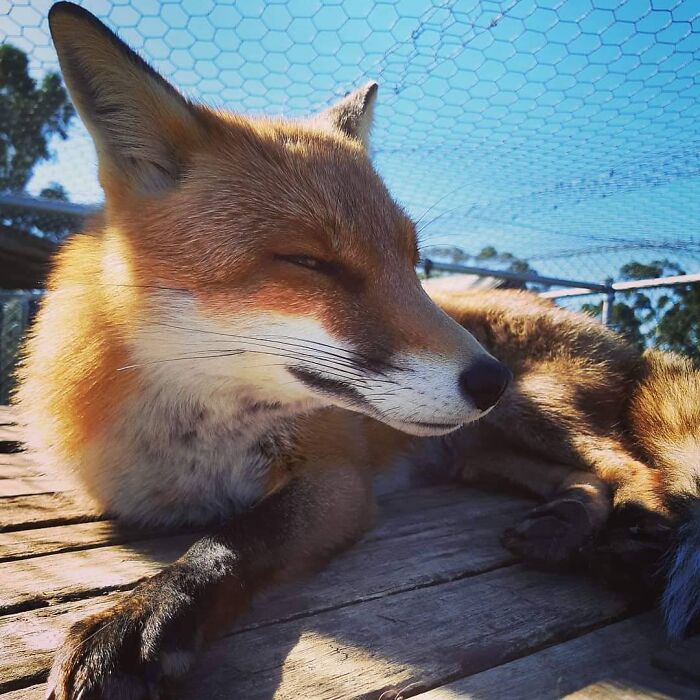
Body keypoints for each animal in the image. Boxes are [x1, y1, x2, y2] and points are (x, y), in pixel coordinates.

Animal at [15, 3, 699, 698]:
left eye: (411, 260)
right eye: (310, 262)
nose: (492, 378)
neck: (195, 443)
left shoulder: (337, 478)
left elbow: (233, 537)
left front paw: (143, 615)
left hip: (533, 414)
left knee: (632, 467)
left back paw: (633, 541)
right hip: (477, 452)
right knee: (587, 476)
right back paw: (563, 527)